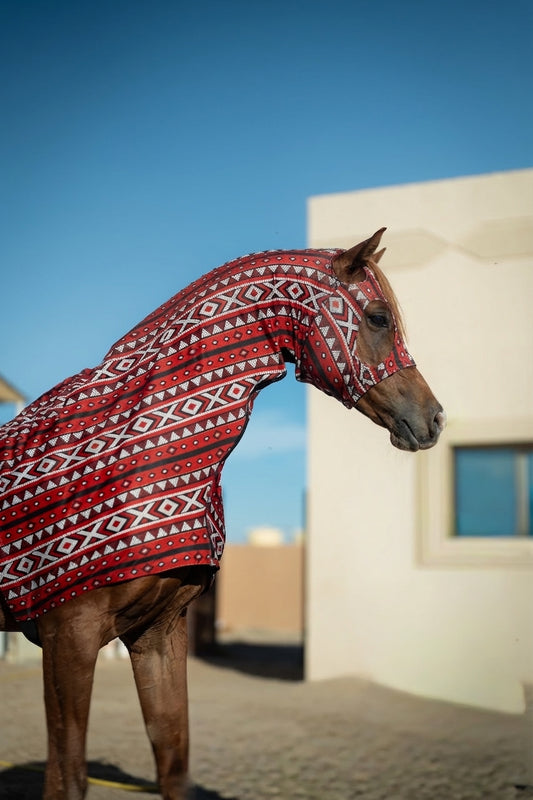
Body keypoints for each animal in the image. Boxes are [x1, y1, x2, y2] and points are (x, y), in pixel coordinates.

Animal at [0, 228, 445, 799]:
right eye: (377, 317)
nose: (433, 419)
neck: (133, 450)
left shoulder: (157, 634)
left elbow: (173, 761)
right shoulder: (67, 639)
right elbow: (67, 778)